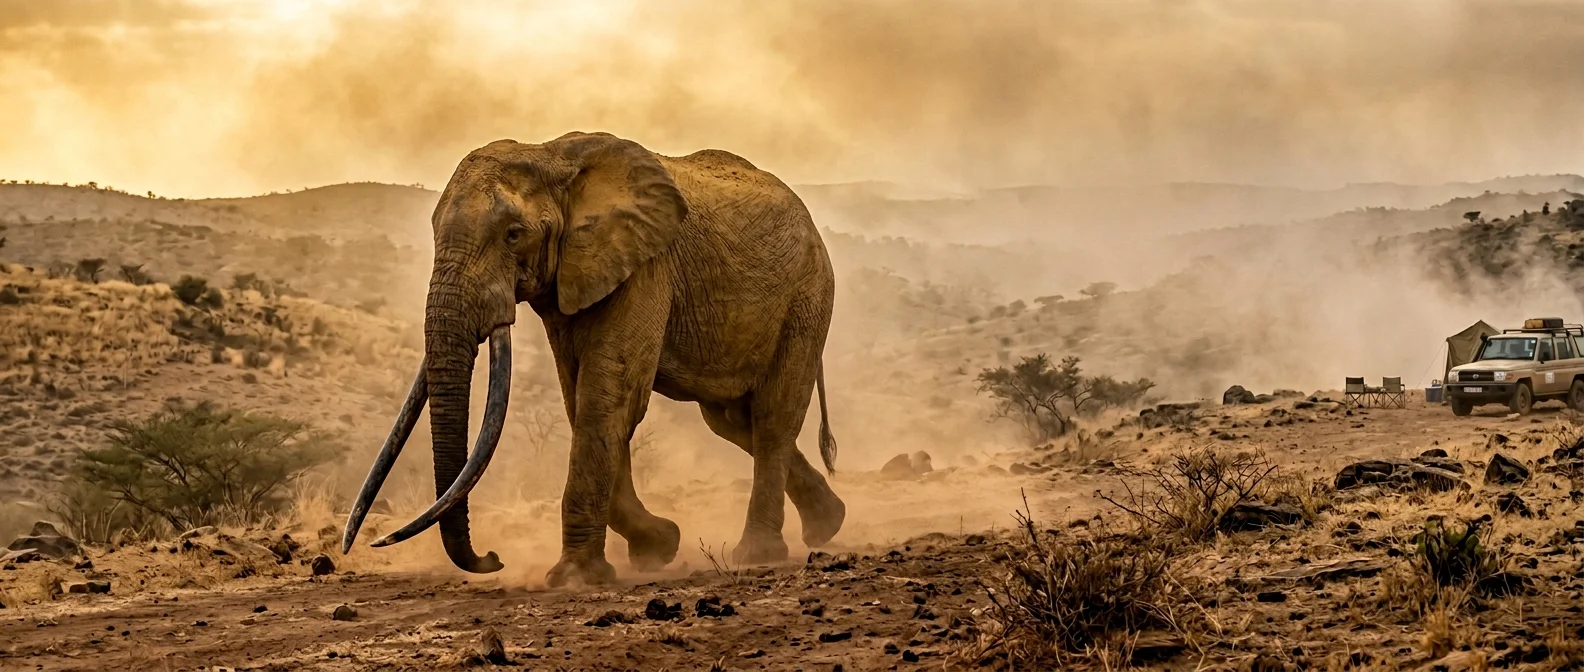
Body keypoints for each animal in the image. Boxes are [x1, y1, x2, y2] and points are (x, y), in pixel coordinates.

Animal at [340, 131, 847, 586]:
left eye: (513, 235)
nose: (493, 558)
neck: (549, 155)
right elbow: (582, 398)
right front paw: (659, 547)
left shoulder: (645, 265)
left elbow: (608, 397)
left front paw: (574, 578)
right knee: (733, 421)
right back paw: (830, 524)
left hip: (808, 295)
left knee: (772, 417)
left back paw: (759, 553)